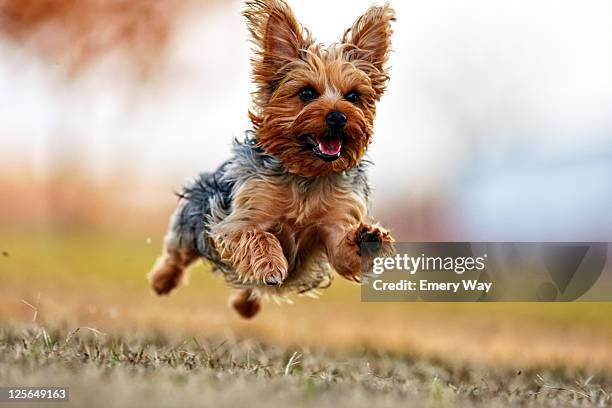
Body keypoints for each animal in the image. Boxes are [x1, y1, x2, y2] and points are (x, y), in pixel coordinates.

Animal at [151, 0, 394, 318]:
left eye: (353, 96)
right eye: (306, 92)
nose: (338, 117)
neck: (306, 174)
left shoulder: (334, 224)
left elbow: (343, 254)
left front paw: (368, 238)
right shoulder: (237, 220)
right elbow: (258, 235)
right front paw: (270, 265)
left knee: (248, 286)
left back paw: (246, 305)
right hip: (194, 217)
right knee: (177, 253)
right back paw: (161, 282)